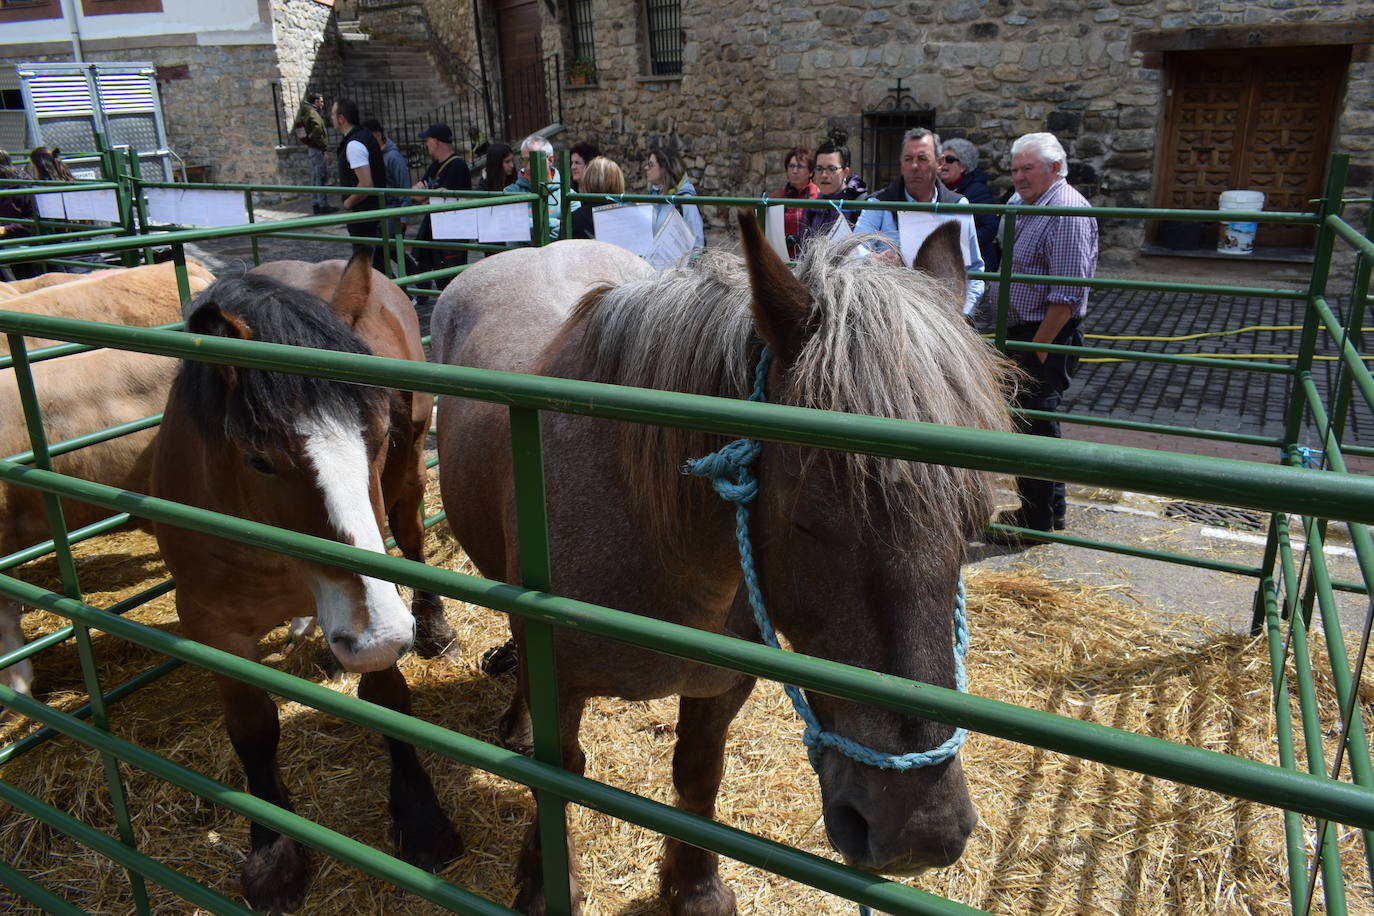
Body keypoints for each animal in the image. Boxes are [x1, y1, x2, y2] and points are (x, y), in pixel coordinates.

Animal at [153, 252, 458, 916]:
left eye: (380, 434)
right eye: (258, 458)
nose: (378, 635)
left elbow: (389, 698)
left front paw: (421, 817)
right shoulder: (212, 624)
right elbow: (252, 729)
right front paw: (274, 854)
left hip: (408, 493)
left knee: (414, 544)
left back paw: (433, 623)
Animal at [434, 216, 1016, 916]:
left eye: (974, 518)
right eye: (807, 517)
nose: (921, 831)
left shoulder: (720, 688)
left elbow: (697, 774)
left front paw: (695, 888)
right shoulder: (561, 682)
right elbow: (559, 770)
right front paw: (547, 882)